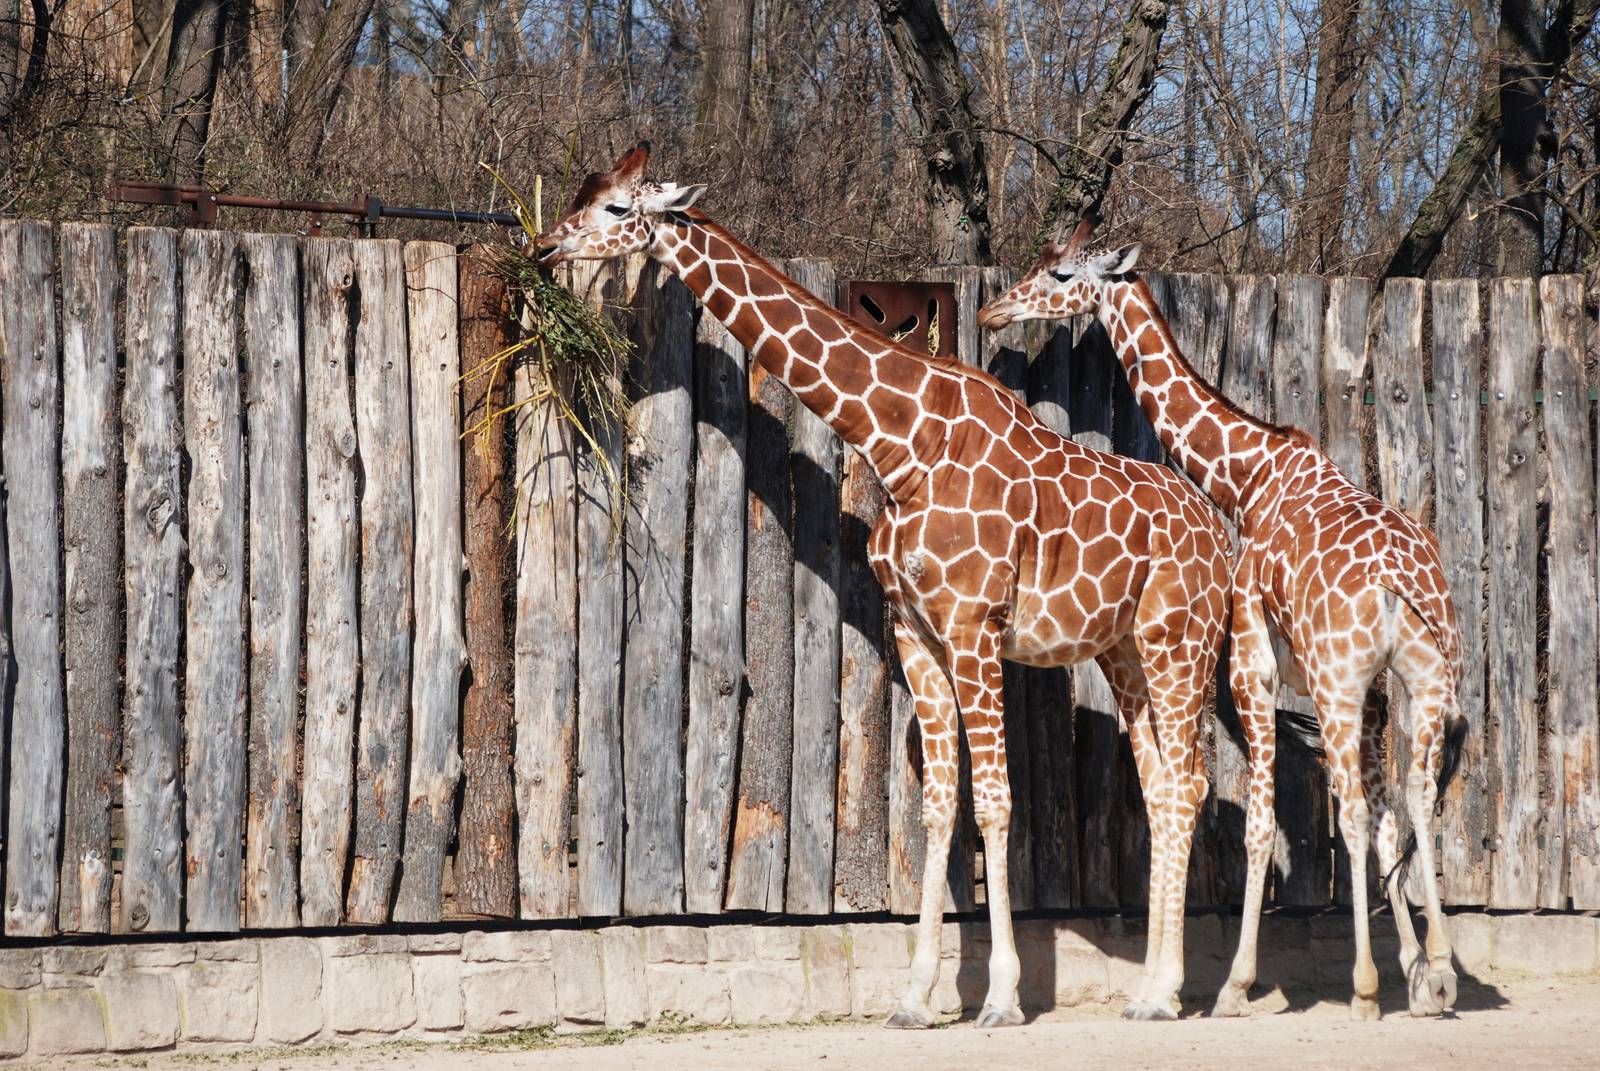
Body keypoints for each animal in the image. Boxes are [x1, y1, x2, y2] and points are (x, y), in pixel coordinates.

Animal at [536, 144, 1232, 1025]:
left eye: (619, 209)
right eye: (585, 195)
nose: (545, 248)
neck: (902, 445)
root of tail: (1219, 536)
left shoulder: (974, 626)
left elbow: (995, 800)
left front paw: (1001, 997)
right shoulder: (916, 631)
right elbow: (939, 804)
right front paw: (916, 995)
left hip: (1182, 645)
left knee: (1192, 782)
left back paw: (1168, 992)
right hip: (1125, 653)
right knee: (1164, 785)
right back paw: (1149, 989)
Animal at [978, 221, 1471, 1022]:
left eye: (1059, 274)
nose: (993, 313)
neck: (1250, 474)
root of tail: (1404, 580)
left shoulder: (1253, 660)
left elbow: (1265, 823)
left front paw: (1237, 984)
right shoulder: (1370, 693)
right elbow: (1388, 817)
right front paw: (1419, 968)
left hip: (1335, 682)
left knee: (1352, 811)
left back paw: (1364, 988)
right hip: (1423, 682)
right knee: (1416, 804)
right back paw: (1442, 975)